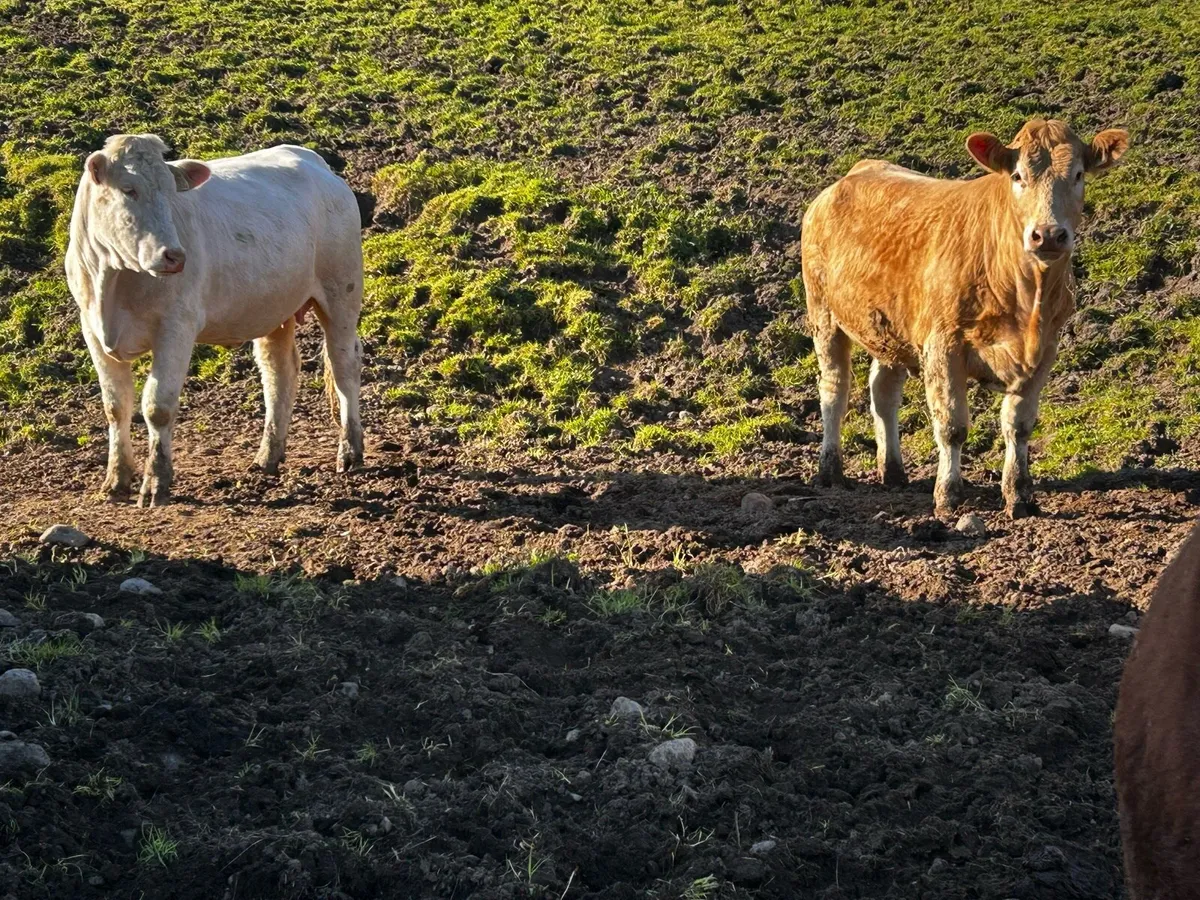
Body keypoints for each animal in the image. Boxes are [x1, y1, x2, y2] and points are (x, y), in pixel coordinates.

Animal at [65, 134, 364, 507]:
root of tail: (314, 160)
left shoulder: (176, 327)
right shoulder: (92, 329)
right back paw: (267, 456)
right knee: (279, 372)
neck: (113, 281)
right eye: (128, 189)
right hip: (273, 307)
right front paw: (116, 480)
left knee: (343, 365)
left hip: (342, 291)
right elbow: (115, 405)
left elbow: (157, 406)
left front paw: (156, 481)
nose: (174, 256)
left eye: (171, 192)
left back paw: (350, 451)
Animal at [800, 119, 1128, 518]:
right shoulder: (943, 346)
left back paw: (892, 471)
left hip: (888, 327)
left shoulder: (1045, 350)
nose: (1048, 234)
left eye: (1079, 175)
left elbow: (1018, 425)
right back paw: (830, 470)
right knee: (835, 389)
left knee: (883, 391)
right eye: (1018, 176)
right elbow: (951, 426)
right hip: (824, 314)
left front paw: (1018, 494)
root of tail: (851, 175)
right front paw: (948, 495)